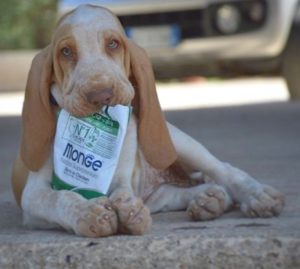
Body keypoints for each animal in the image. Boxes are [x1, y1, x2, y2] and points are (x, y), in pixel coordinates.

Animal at [10, 5, 284, 237]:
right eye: (65, 51)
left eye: (113, 44)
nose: (101, 95)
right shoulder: (33, 195)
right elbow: (60, 199)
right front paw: (89, 214)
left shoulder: (122, 177)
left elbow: (122, 191)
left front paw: (129, 211)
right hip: (161, 192)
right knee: (176, 193)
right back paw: (209, 199)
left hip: (176, 142)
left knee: (223, 170)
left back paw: (256, 196)